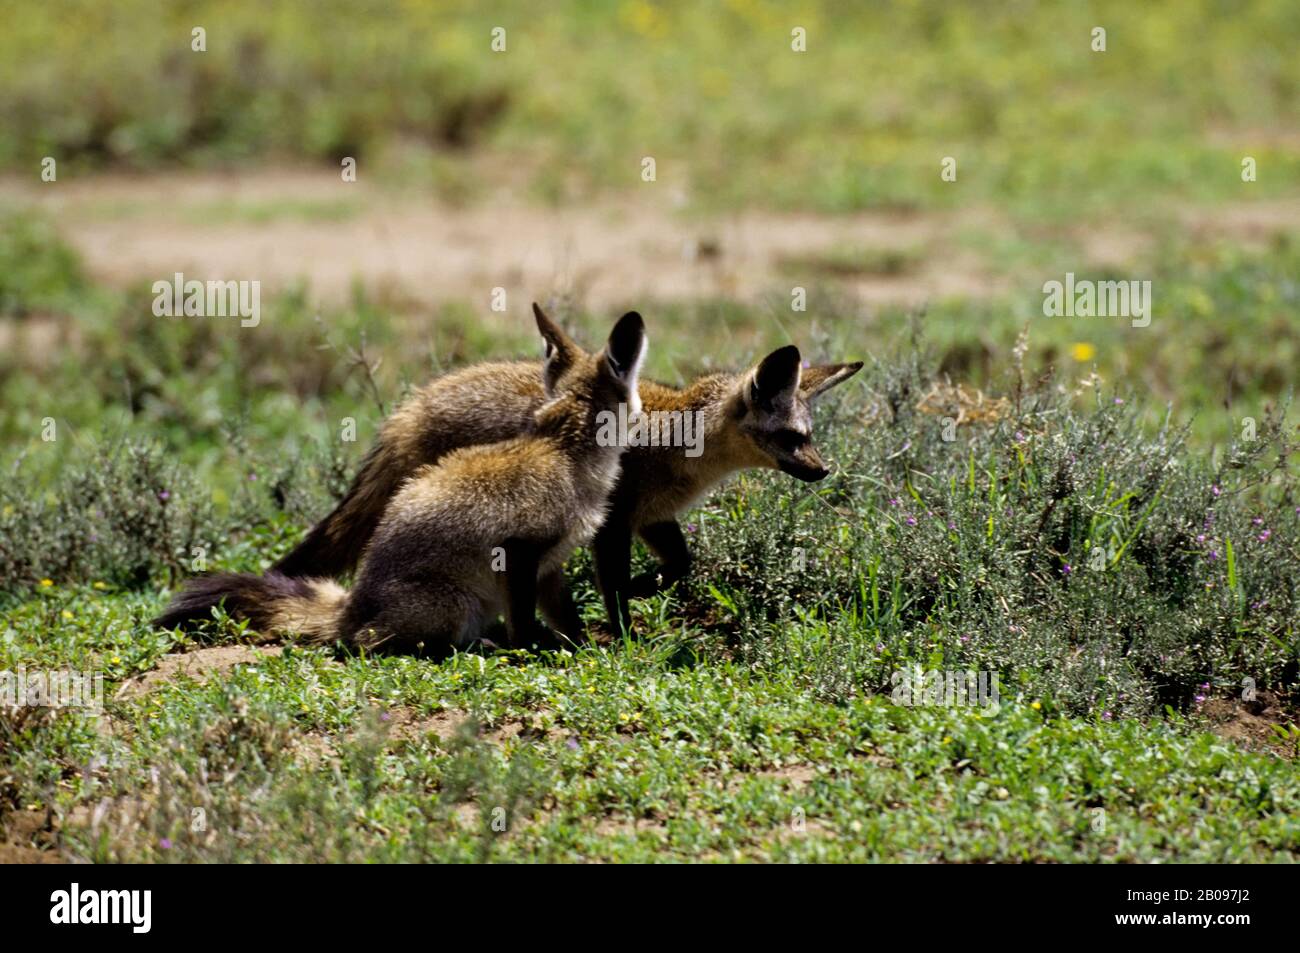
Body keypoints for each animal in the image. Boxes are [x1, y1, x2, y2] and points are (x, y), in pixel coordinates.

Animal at [153, 309, 648, 653]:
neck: (565, 451)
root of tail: (352, 606)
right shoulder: (518, 552)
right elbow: (525, 626)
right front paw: (534, 651)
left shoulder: (548, 564)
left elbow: (567, 617)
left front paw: (583, 646)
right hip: (454, 604)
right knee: (369, 643)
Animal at [271, 304, 861, 637]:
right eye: (792, 438)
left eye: (809, 437)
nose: (823, 472)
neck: (681, 441)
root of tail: (412, 407)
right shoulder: (614, 523)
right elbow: (617, 586)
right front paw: (625, 631)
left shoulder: (653, 518)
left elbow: (681, 564)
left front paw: (648, 588)